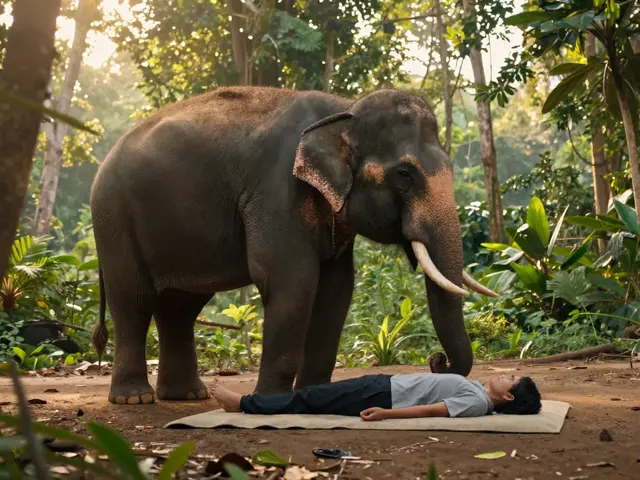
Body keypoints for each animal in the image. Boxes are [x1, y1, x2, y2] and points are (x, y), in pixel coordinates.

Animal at [90, 86, 497, 405]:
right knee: (133, 301)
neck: (343, 110)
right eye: (404, 175)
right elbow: (291, 280)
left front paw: (315, 396)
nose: (437, 360)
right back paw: (134, 398)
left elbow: (336, 289)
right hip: (113, 219)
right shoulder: (276, 190)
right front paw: (271, 401)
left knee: (180, 306)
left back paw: (187, 395)